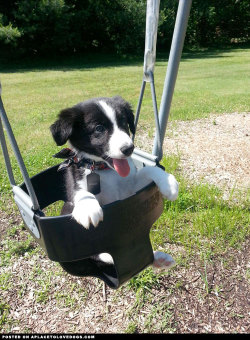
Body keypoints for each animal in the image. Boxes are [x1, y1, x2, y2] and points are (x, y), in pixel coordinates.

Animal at [50, 95, 179, 268]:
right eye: (99, 128)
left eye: (123, 122)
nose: (129, 149)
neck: (105, 170)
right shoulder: (76, 183)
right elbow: (80, 191)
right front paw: (88, 207)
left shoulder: (129, 190)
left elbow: (147, 170)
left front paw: (168, 183)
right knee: (99, 254)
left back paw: (158, 258)